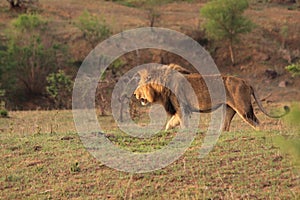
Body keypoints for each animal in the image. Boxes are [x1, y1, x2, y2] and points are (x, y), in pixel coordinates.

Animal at [133, 64, 288, 132]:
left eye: (139, 86)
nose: (134, 94)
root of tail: (246, 81)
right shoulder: (183, 109)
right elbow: (172, 122)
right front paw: (168, 130)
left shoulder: (182, 107)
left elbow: (181, 123)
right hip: (229, 109)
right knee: (226, 126)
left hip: (244, 109)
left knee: (257, 123)